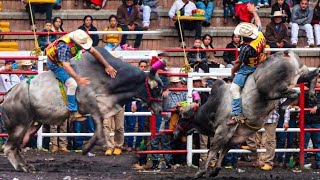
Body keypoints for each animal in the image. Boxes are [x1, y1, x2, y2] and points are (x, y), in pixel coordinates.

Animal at [0, 47, 165, 172]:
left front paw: (88, 147)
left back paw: (26, 165)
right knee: (8, 147)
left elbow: (99, 124)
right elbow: (99, 124)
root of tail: (8, 96)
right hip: (19, 126)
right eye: (157, 88)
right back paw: (21, 167)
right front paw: (90, 147)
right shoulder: (90, 103)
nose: (160, 110)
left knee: (16, 147)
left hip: (31, 125)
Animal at [174, 51, 318, 179]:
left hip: (270, 88)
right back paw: (311, 93)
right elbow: (223, 151)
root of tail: (285, 53)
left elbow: (212, 150)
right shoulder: (231, 138)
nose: (175, 133)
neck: (214, 107)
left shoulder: (223, 132)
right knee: (312, 75)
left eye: (181, 117)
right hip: (301, 73)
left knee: (295, 93)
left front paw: (200, 172)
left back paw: (283, 106)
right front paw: (215, 170)